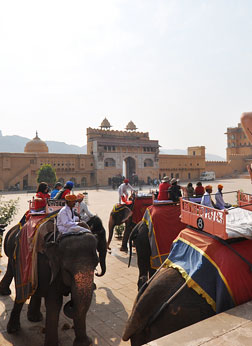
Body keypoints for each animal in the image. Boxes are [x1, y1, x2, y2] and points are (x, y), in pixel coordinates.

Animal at [0, 216, 107, 346]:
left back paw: (34, 318)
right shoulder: (49, 266)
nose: (97, 273)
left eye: (95, 264)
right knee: (20, 289)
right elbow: (54, 302)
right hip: (19, 261)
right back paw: (14, 328)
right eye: (67, 270)